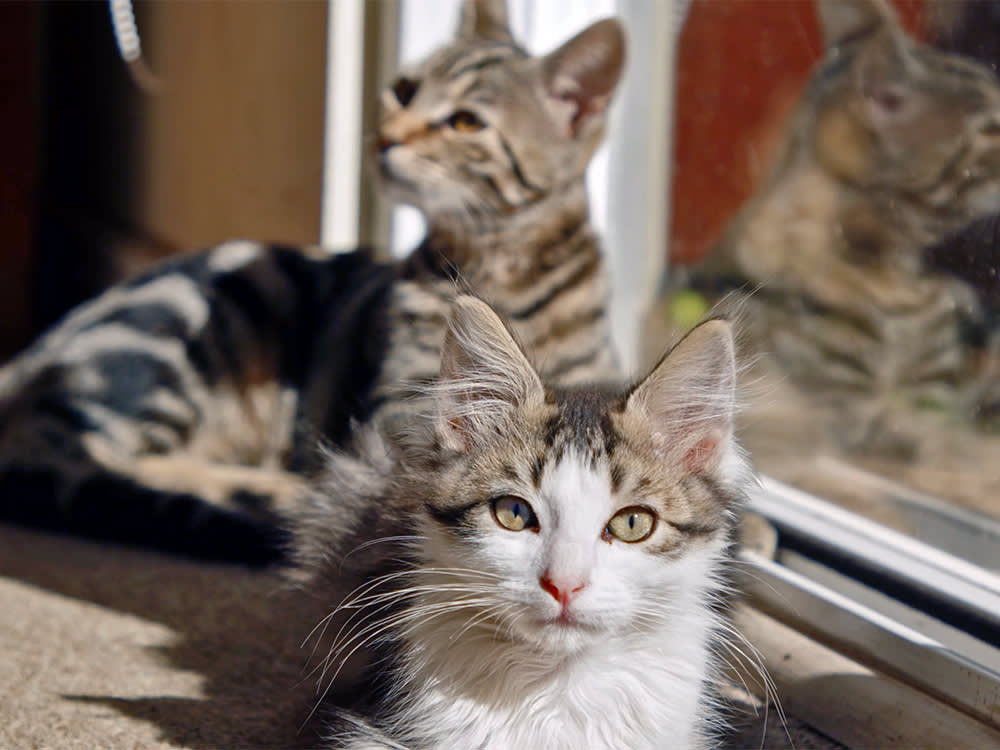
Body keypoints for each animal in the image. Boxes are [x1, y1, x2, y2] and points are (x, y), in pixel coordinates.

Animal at [0, 0, 624, 564]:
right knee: (90, 461)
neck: (501, 268)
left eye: (466, 121)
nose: (386, 137)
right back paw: (274, 495)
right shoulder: (401, 409)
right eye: (404, 90)